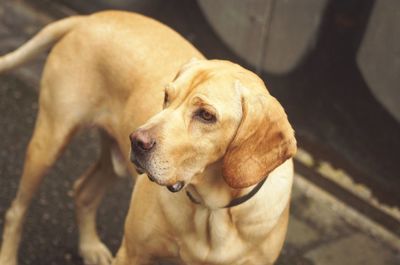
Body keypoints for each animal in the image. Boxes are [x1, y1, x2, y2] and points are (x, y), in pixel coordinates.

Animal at [0, 10, 294, 264]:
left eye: (206, 115)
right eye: (167, 96)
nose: (137, 141)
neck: (212, 209)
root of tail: (89, 18)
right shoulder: (132, 253)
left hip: (114, 160)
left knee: (83, 191)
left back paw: (90, 247)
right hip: (49, 143)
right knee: (17, 210)